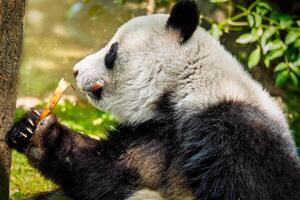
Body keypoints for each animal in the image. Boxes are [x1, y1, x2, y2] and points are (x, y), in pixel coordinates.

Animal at [5, 0, 300, 200]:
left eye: (111, 52)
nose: (76, 70)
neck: (184, 90)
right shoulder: (153, 134)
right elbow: (109, 169)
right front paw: (35, 130)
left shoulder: (237, 134)